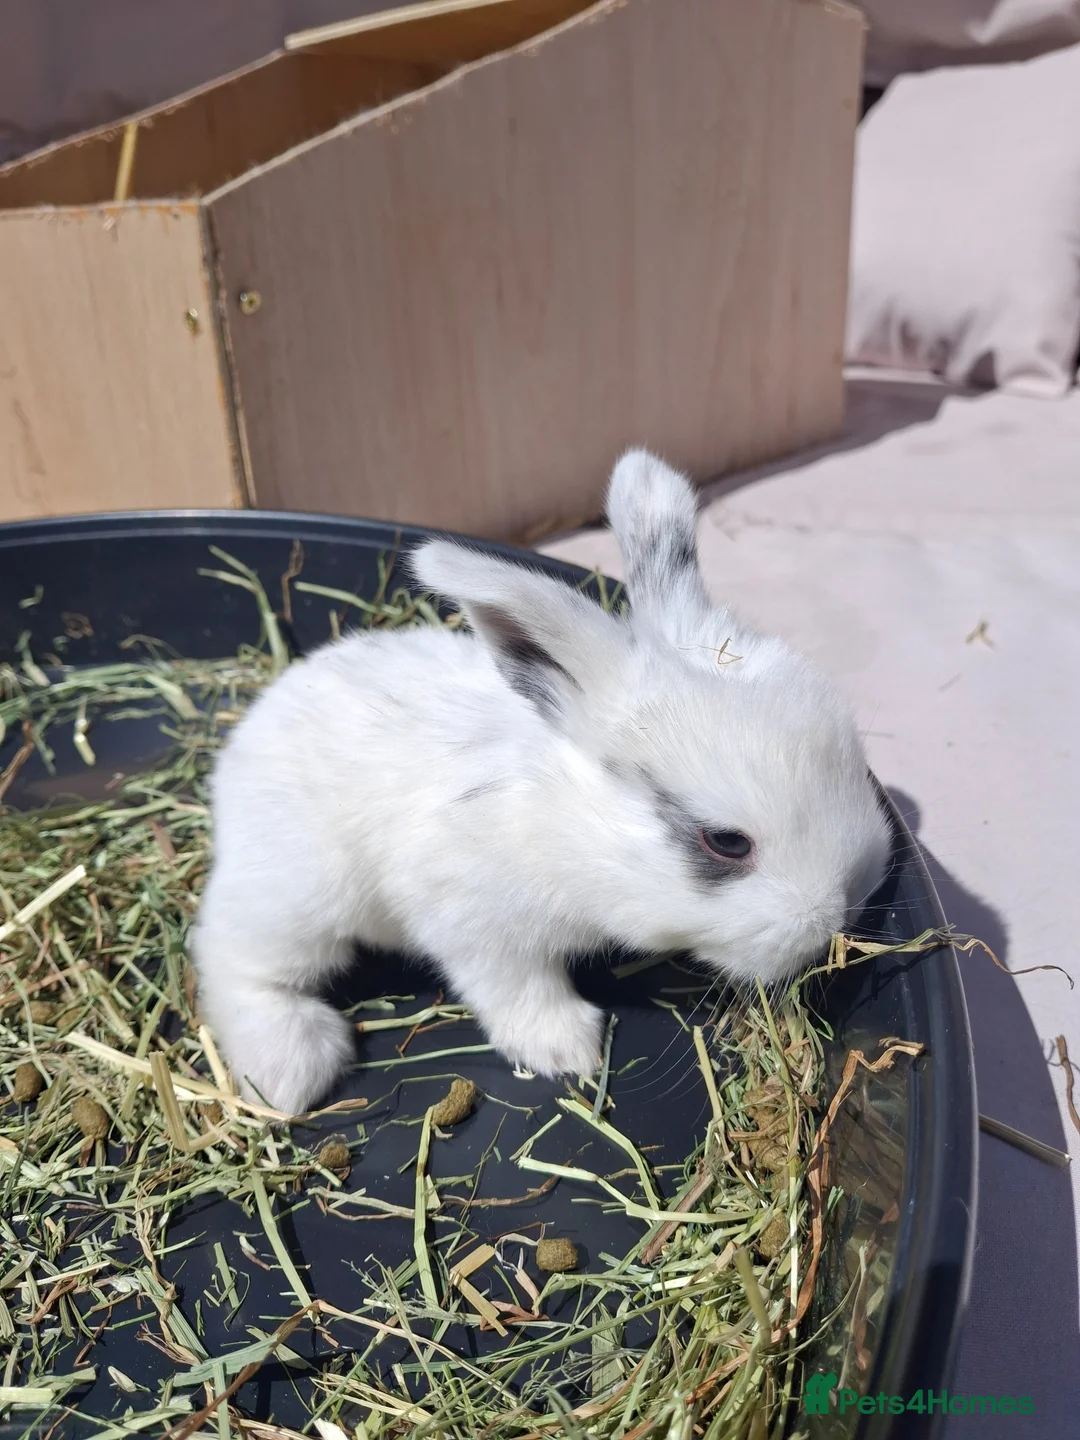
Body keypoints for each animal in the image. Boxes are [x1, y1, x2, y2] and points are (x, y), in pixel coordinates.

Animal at [190, 449, 892, 1116]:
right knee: (227, 952)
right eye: (725, 841)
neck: (564, 815)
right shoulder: (477, 925)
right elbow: (516, 987)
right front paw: (568, 1048)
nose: (841, 911)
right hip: (302, 898)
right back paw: (292, 1069)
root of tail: (243, 745)